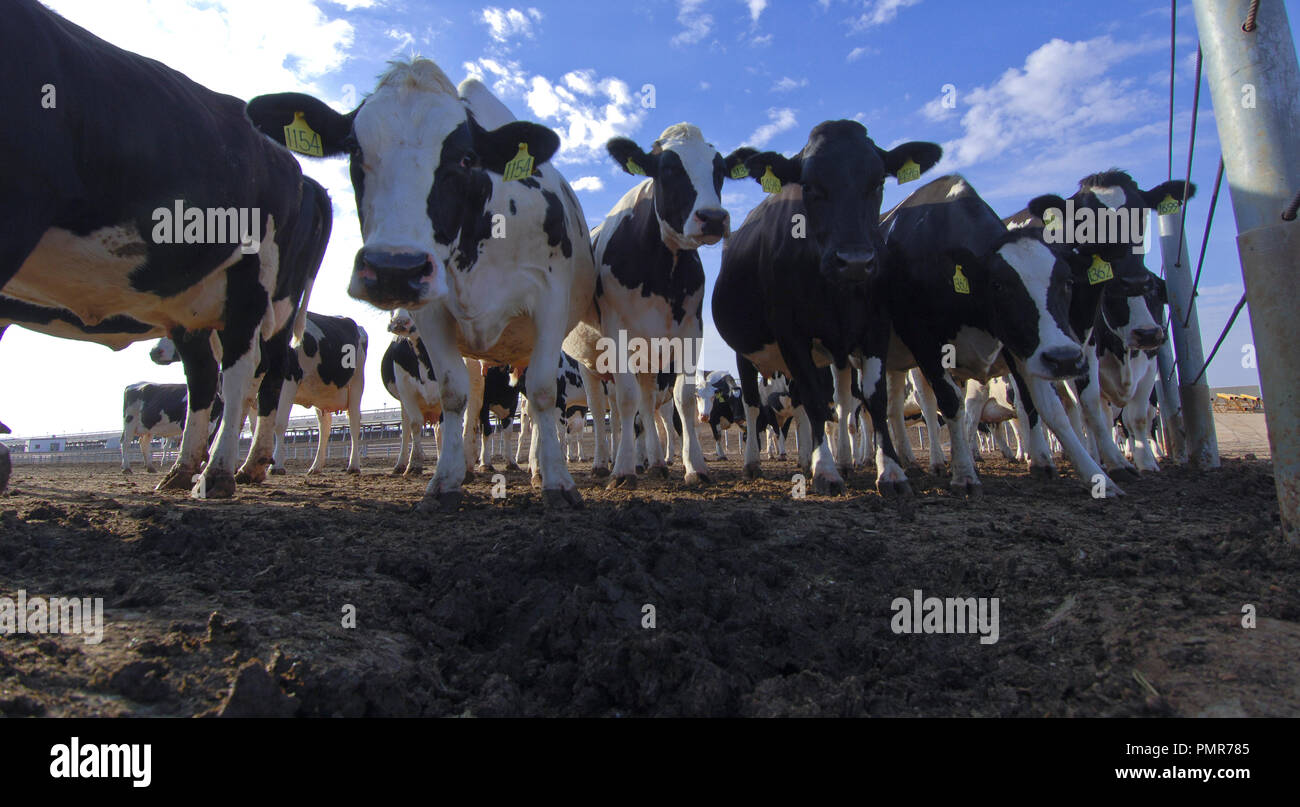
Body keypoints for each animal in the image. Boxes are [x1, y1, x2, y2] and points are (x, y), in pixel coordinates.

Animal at [1, 0, 324, 498]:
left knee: (249, 371)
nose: (155, 353)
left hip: (257, 285)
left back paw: (223, 472)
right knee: (208, 377)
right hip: (197, 304)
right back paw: (187, 470)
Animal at [248, 59, 597, 510]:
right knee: (475, 400)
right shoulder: (431, 311)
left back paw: (536, 467)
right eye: (354, 149)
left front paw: (558, 482)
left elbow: (539, 391)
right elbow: (453, 393)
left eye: (466, 157)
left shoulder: (550, 302)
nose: (393, 268)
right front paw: (445, 481)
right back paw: (473, 464)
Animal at [563, 125, 755, 489]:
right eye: (667, 168)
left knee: (646, 402)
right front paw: (623, 470)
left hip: (649, 357)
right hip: (590, 363)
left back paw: (654, 462)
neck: (663, 270)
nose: (713, 217)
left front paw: (695, 467)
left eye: (720, 170)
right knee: (604, 405)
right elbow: (625, 401)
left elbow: (683, 398)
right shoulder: (617, 333)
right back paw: (603, 463)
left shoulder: (691, 332)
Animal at [714, 120, 942, 495]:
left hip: (836, 352)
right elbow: (815, 400)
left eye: (878, 182)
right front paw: (825, 470)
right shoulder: (791, 333)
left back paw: (834, 460)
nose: (855, 261)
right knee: (751, 405)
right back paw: (753, 463)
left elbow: (872, 400)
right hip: (745, 354)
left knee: (843, 402)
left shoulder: (875, 326)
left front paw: (891, 470)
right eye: (809, 185)